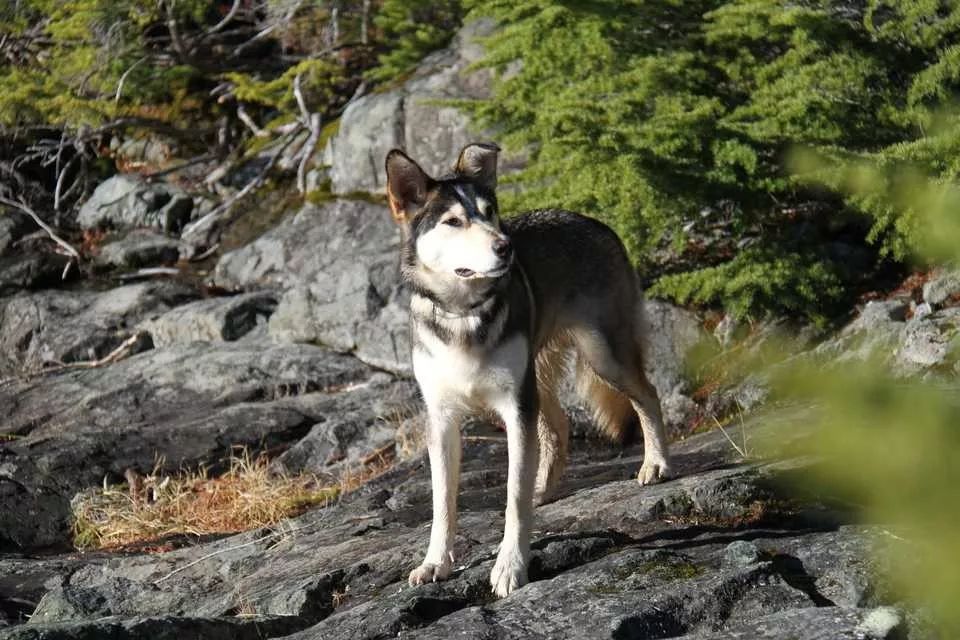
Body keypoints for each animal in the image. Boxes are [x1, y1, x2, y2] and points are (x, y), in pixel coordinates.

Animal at [380, 142, 668, 596]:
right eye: (454, 221)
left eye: (490, 211)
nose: (506, 246)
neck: (463, 314)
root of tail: (591, 220)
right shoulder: (442, 420)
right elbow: (442, 503)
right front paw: (435, 563)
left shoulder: (515, 408)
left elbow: (513, 498)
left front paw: (510, 567)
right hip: (540, 380)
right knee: (560, 425)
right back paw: (544, 487)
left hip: (604, 357)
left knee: (647, 395)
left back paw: (655, 464)